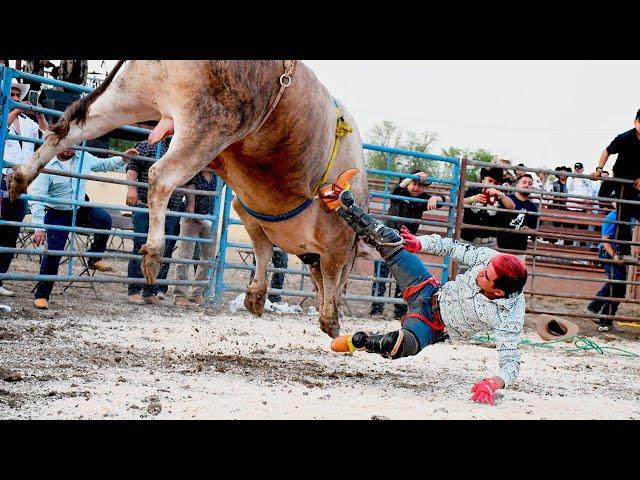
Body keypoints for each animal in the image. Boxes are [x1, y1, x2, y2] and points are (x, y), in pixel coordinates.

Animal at [8, 60, 364, 338]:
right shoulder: (336, 240)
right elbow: (328, 273)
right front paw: (331, 319)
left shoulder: (250, 213)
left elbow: (263, 251)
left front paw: (256, 297)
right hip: (208, 123)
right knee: (160, 176)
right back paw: (153, 253)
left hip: (127, 96)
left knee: (65, 131)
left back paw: (20, 177)